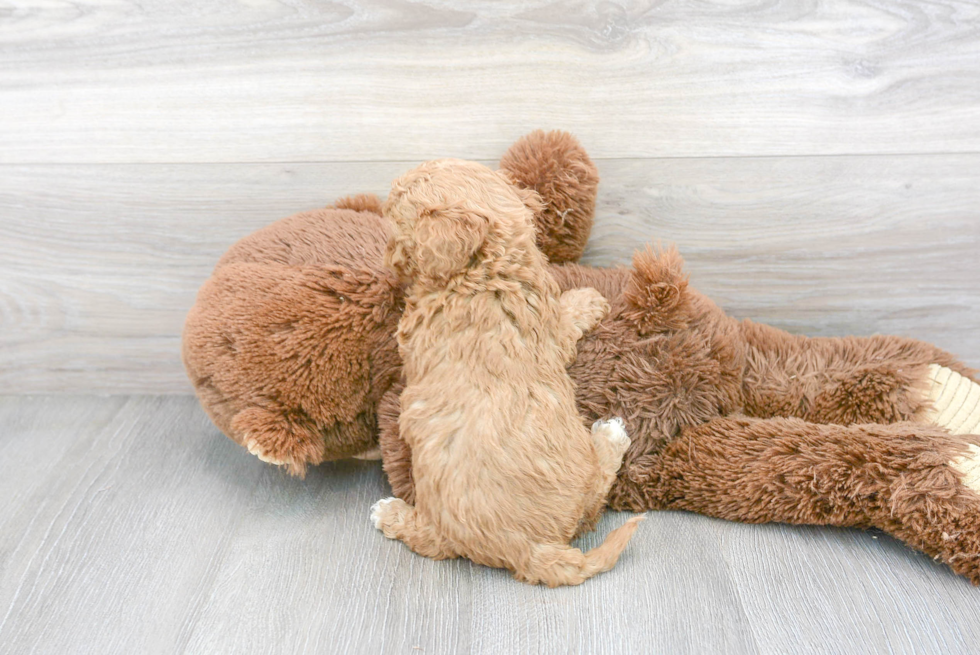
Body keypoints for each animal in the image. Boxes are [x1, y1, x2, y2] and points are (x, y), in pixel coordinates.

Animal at [370, 160, 644, 588]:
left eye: (396, 224)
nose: (387, 259)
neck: (483, 273)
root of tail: (526, 549)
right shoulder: (551, 330)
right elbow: (567, 316)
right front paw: (588, 298)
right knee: (593, 500)